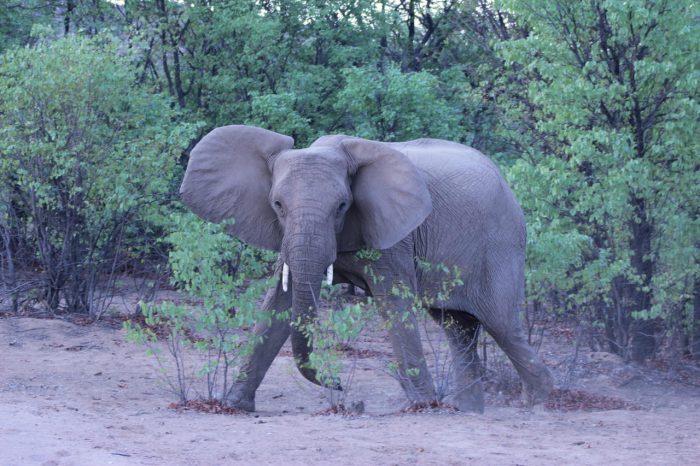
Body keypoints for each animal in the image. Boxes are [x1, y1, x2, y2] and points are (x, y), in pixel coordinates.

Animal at [179, 124, 552, 412]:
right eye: (278, 205)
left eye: (343, 206)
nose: (340, 387)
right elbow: (280, 302)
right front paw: (233, 405)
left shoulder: (393, 239)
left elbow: (394, 304)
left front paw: (423, 406)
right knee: (457, 327)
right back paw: (469, 411)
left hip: (501, 244)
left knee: (503, 326)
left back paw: (543, 403)